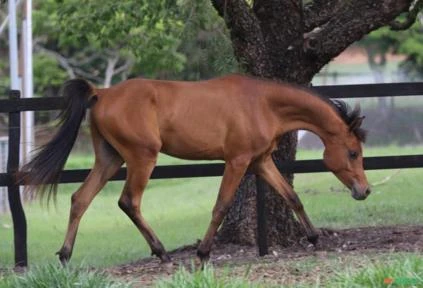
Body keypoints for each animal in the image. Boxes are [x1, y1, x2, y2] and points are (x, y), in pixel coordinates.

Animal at [21, 73, 370, 264]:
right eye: (353, 152)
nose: (364, 191)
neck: (262, 103)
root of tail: (101, 93)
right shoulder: (237, 161)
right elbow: (221, 206)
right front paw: (203, 253)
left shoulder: (260, 161)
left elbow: (291, 196)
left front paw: (314, 237)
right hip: (141, 158)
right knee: (129, 202)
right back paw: (161, 252)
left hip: (110, 158)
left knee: (80, 198)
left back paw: (65, 255)